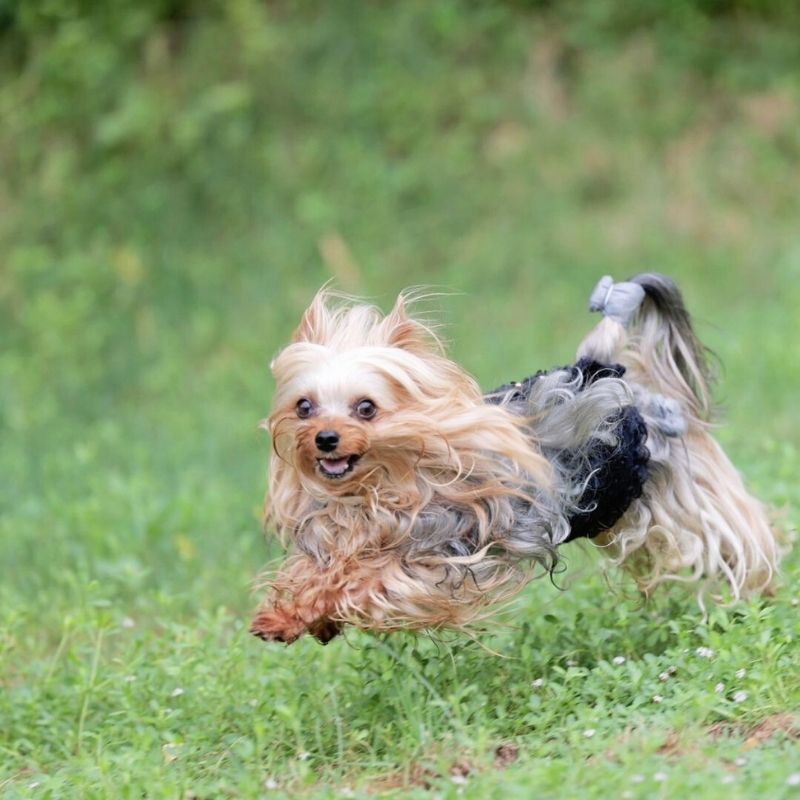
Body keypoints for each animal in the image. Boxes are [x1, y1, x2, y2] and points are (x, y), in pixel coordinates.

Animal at [252, 276, 780, 644]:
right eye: (304, 406)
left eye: (366, 408)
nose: (325, 439)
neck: (380, 488)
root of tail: (605, 370)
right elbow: (317, 571)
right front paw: (290, 617)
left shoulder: (439, 553)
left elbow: (370, 579)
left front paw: (324, 606)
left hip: (685, 497)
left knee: (738, 538)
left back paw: (765, 589)